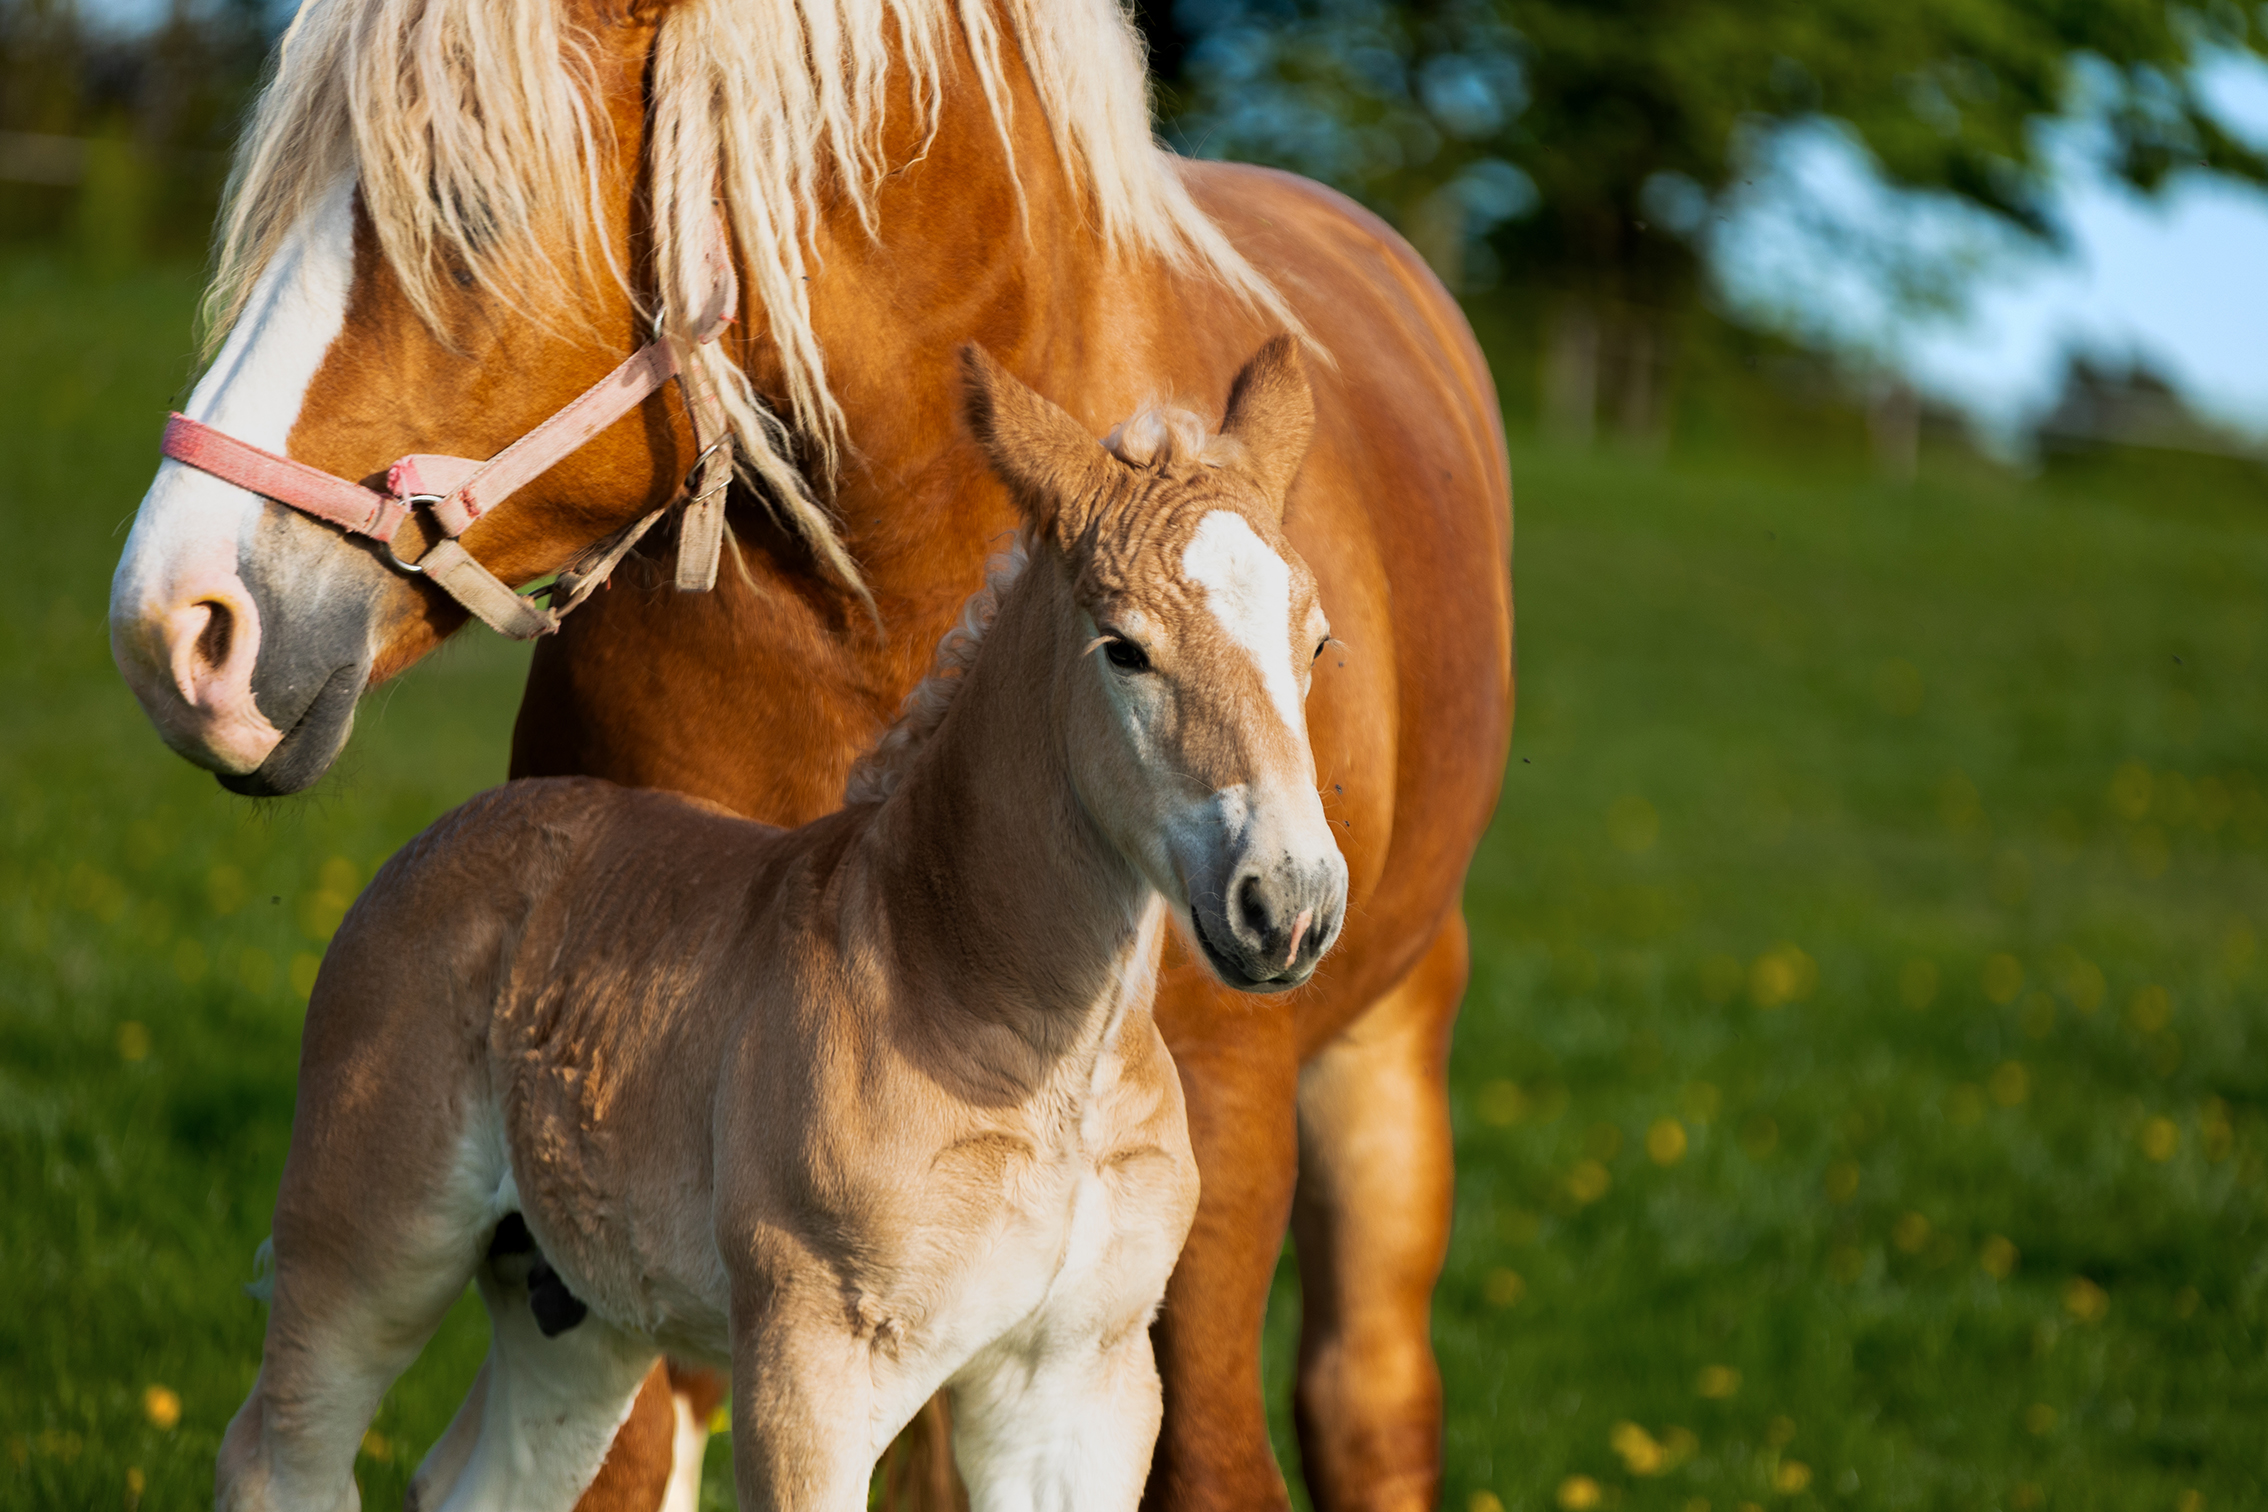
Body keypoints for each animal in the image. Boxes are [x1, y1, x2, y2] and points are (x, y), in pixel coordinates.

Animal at [221, 340, 1343, 1512]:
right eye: (1124, 649)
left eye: (1316, 644)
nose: (1288, 905)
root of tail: (434, 845)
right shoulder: (814, 1369)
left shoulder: (1079, 1384)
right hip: (371, 1242)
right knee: (281, 1456)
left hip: (573, 1314)